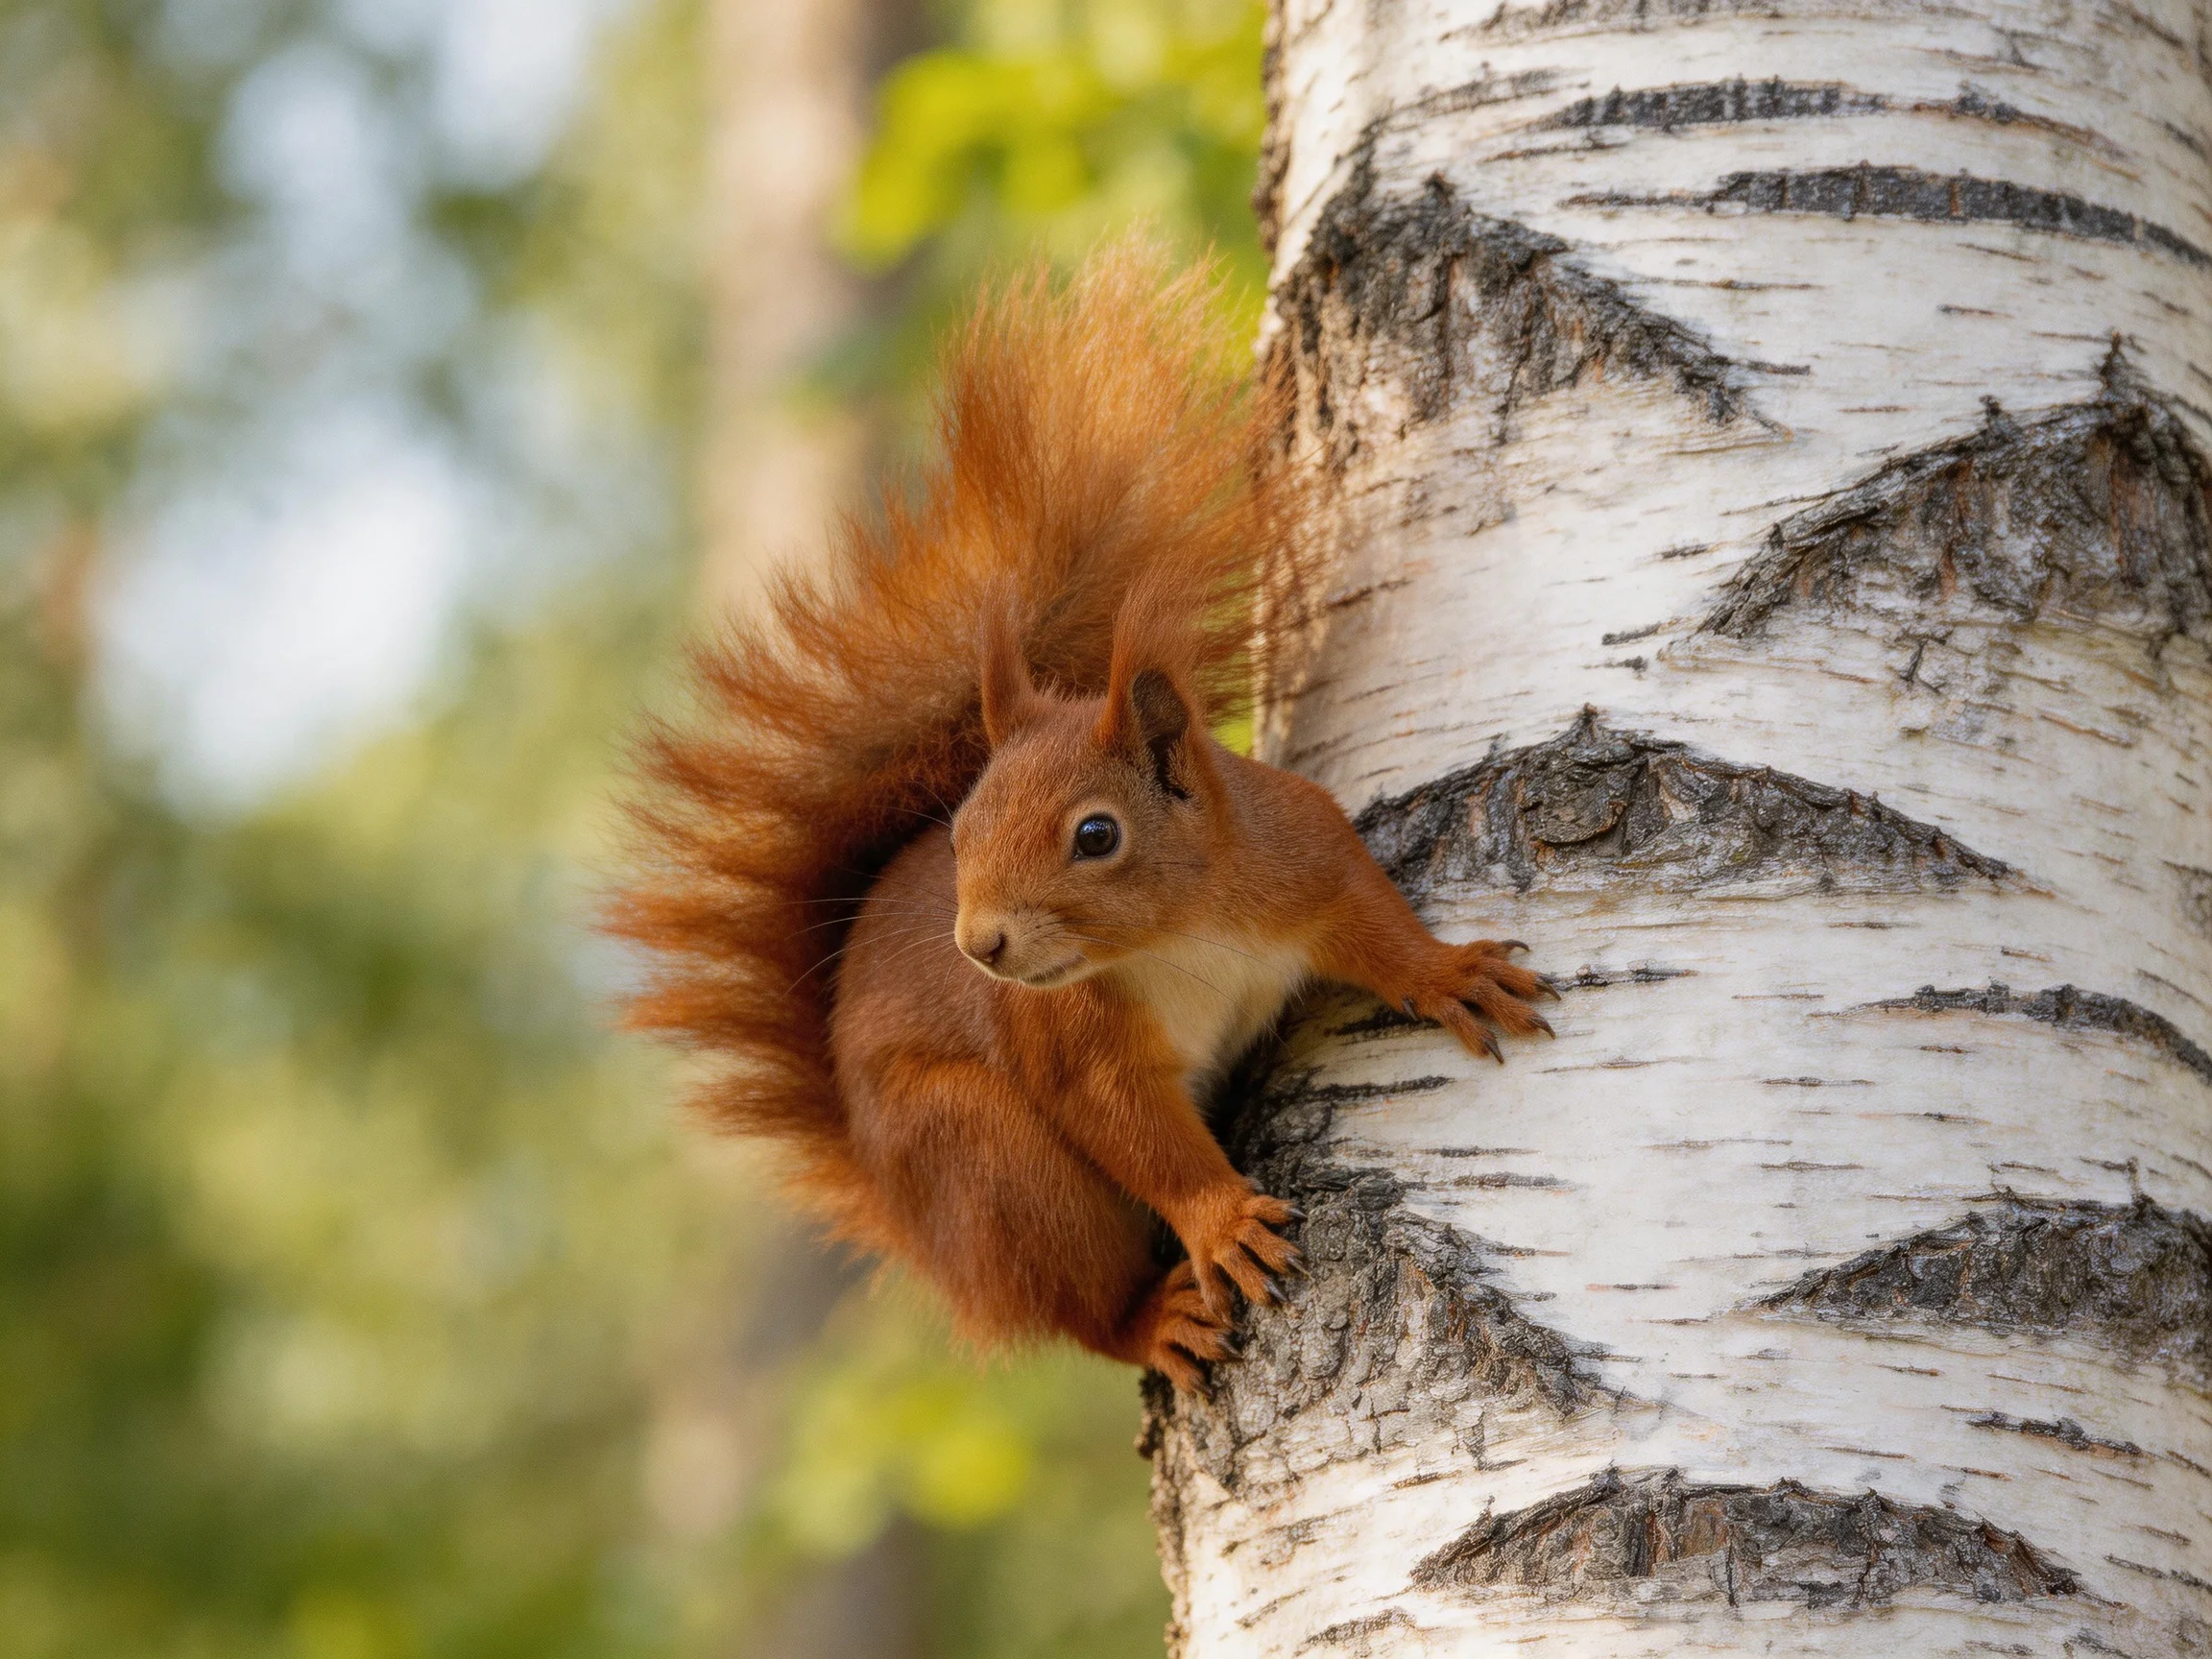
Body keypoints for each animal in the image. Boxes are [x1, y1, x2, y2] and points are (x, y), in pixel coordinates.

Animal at [610, 244, 1553, 1389]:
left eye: (1096, 836)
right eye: (959, 836)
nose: (980, 946)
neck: (1187, 931)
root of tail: (917, 1229)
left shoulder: (1304, 852)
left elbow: (1372, 923)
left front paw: (1450, 973)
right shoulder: (1069, 1039)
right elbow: (1133, 1129)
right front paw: (1224, 1219)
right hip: (990, 1164)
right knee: (1076, 1302)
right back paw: (1152, 1319)